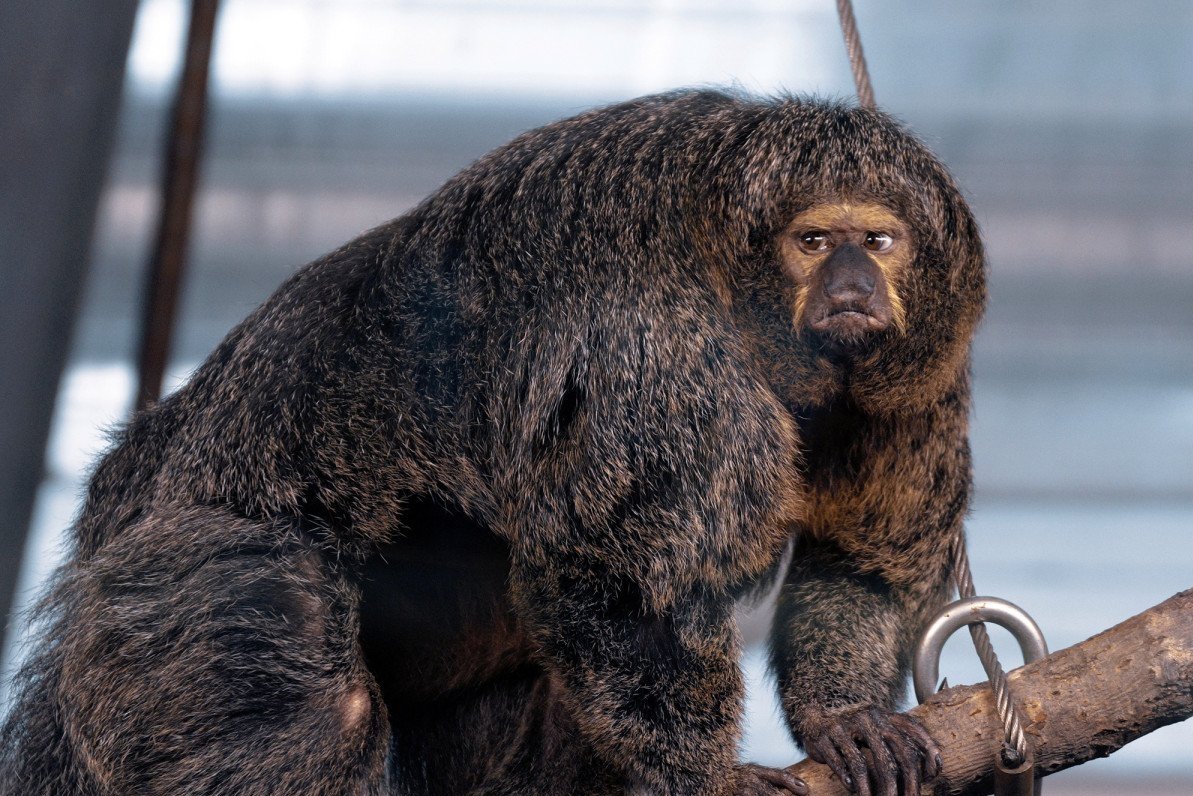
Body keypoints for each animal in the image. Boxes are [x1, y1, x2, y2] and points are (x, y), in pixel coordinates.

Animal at [0, 89, 984, 796]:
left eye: (878, 241)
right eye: (813, 241)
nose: (852, 287)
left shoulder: (923, 384)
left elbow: (860, 562)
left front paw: (838, 719)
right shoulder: (661, 358)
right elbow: (624, 585)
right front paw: (706, 778)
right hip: (175, 578)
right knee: (304, 684)